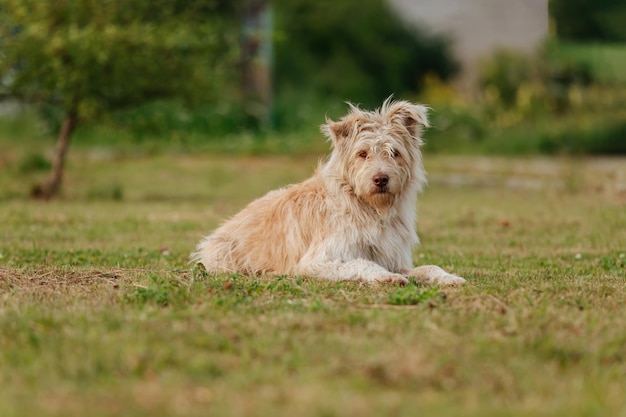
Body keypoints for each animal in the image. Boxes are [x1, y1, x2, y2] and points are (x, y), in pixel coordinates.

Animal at [190, 99, 464, 284]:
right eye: (362, 153)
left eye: (394, 152)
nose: (381, 179)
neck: (367, 208)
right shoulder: (317, 261)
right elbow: (363, 262)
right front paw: (386, 278)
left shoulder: (393, 258)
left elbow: (429, 267)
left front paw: (449, 277)